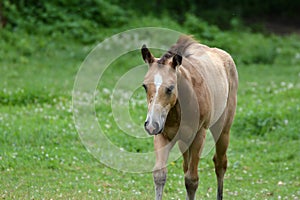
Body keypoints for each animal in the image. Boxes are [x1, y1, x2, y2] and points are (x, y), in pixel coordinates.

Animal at [142, 35, 238, 199]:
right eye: (145, 86)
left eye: (170, 88)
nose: (151, 125)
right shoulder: (162, 136)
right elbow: (160, 175)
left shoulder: (199, 136)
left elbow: (192, 180)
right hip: (183, 141)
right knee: (186, 166)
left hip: (222, 130)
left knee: (220, 164)